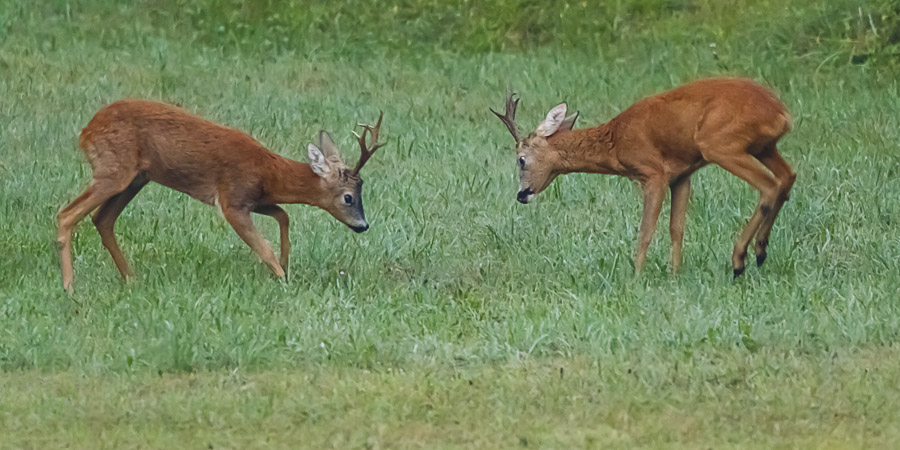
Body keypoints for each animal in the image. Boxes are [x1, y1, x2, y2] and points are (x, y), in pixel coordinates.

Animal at [55, 100, 386, 294]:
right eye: (348, 197)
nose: (363, 226)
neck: (268, 172)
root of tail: (86, 131)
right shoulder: (232, 198)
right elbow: (263, 246)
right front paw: (282, 279)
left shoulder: (256, 199)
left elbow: (284, 216)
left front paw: (285, 264)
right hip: (114, 169)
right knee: (66, 214)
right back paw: (70, 287)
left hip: (136, 177)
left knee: (102, 219)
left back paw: (131, 279)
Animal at [496, 77, 800, 276]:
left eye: (521, 160)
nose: (521, 195)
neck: (616, 141)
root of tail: (782, 114)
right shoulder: (682, 175)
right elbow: (677, 228)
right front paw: (675, 275)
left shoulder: (653, 173)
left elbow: (646, 230)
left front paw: (636, 276)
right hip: (763, 147)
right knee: (788, 177)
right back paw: (760, 251)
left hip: (720, 144)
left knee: (769, 186)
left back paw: (740, 260)